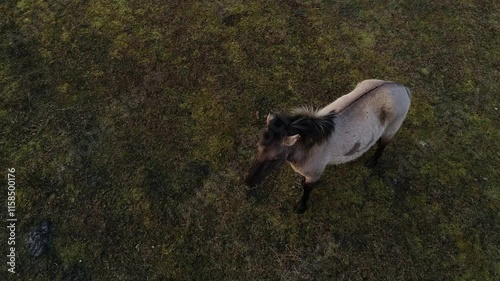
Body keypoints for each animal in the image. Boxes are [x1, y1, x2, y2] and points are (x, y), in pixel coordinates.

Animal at [244, 79, 412, 212]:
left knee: (382, 146)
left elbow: (306, 190)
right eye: (258, 148)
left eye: (274, 158)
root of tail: (402, 88)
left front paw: (301, 207)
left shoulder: (314, 174)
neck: (308, 144)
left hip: (391, 129)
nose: (248, 182)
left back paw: (372, 162)